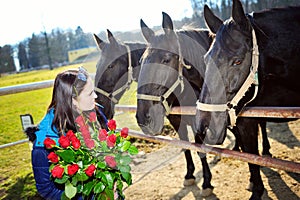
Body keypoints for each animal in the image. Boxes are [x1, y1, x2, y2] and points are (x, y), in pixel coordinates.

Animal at [135, 12, 214, 195]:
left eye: (166, 59)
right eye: (141, 61)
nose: (143, 118)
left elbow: (200, 148)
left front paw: (206, 182)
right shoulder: (177, 121)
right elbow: (185, 145)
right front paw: (190, 174)